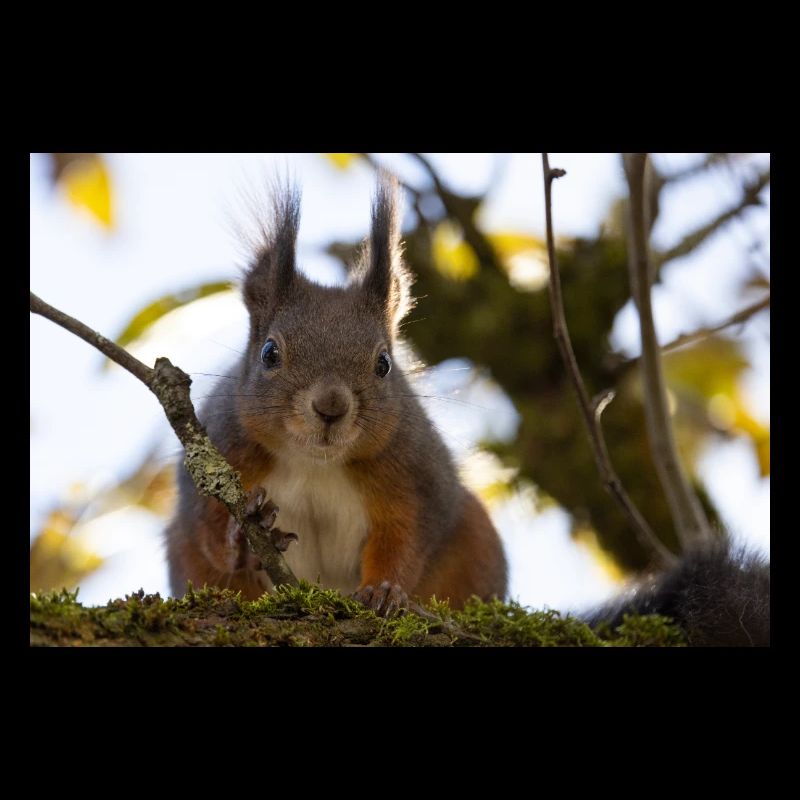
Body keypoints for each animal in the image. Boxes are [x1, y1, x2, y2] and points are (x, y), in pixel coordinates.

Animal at [165, 175, 508, 615]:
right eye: (269, 353)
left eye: (384, 363)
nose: (331, 406)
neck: (314, 461)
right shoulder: (220, 450)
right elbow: (208, 527)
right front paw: (241, 541)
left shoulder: (417, 476)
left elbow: (407, 538)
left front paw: (384, 589)